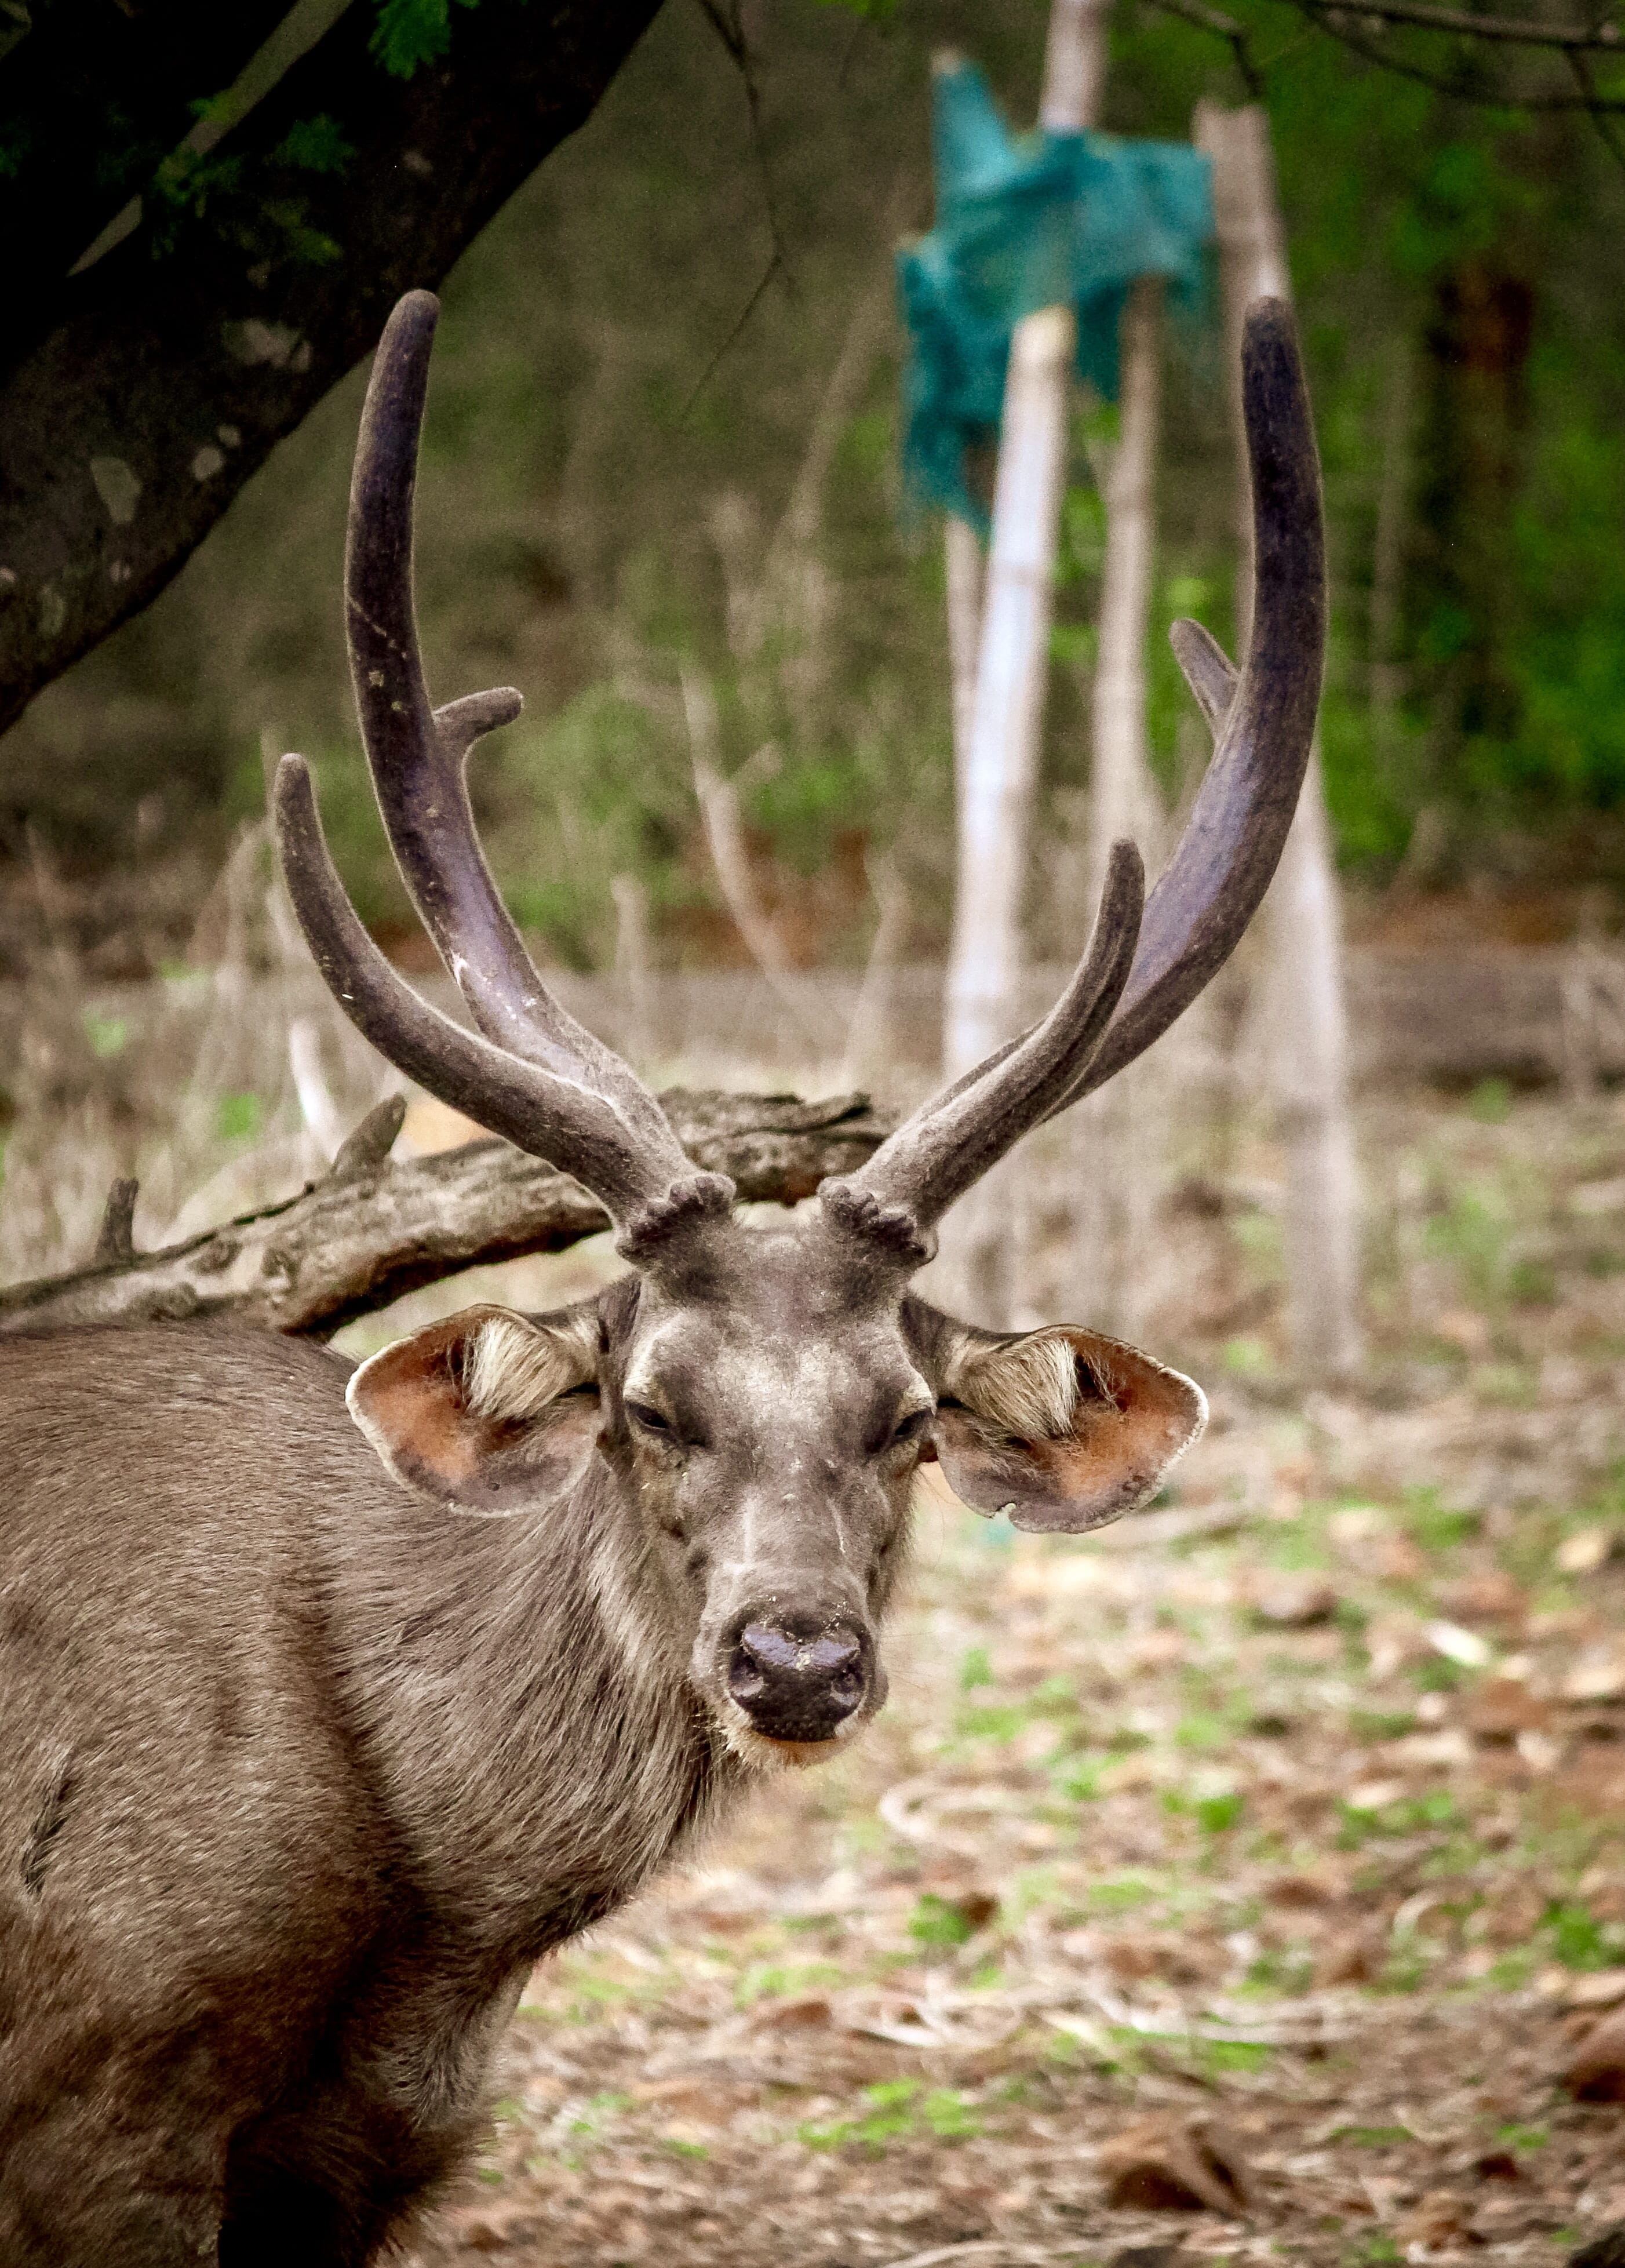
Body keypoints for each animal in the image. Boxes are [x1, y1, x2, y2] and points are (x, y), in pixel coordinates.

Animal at [0, 287, 1322, 2264]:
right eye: (647, 1403)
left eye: (909, 1417)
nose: (797, 1657)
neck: (432, 1914)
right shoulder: (98, 2090)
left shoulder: (364, 2152)